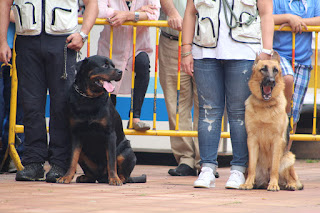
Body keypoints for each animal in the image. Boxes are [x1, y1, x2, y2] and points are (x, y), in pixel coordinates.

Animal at [57, 55, 146, 185]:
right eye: (104, 65)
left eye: (114, 65)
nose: (120, 72)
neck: (89, 99)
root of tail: (101, 177)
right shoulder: (76, 134)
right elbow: (73, 159)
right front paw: (66, 177)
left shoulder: (110, 134)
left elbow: (111, 161)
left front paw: (114, 179)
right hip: (84, 155)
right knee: (92, 173)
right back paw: (86, 177)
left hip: (126, 152)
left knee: (124, 174)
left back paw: (119, 178)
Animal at [239, 52, 304, 191]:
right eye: (263, 69)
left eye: (275, 70)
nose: (271, 81)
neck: (265, 106)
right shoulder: (252, 140)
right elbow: (252, 167)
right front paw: (248, 183)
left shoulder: (277, 140)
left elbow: (274, 167)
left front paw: (273, 185)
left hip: (288, 158)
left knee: (291, 178)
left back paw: (289, 185)